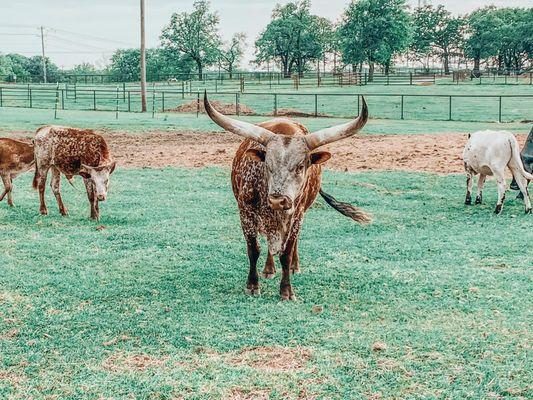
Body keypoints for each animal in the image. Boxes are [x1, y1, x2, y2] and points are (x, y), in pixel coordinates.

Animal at [204, 93, 370, 300]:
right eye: (267, 165)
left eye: (300, 166)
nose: (278, 199)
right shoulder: (246, 213)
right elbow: (254, 250)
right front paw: (252, 285)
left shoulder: (296, 216)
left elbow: (286, 253)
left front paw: (286, 290)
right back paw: (268, 269)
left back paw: (294, 267)